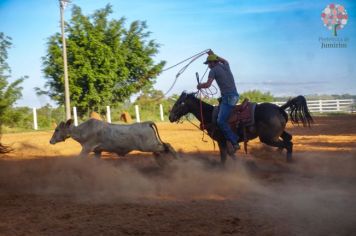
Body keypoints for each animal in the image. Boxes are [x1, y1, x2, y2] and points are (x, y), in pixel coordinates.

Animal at [169, 92, 312, 164]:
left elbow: (224, 157)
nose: (170, 117)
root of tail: (279, 109)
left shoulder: (221, 141)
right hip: (277, 134)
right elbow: (230, 154)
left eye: (180, 103)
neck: (211, 115)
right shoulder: (227, 141)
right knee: (288, 139)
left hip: (268, 138)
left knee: (289, 144)